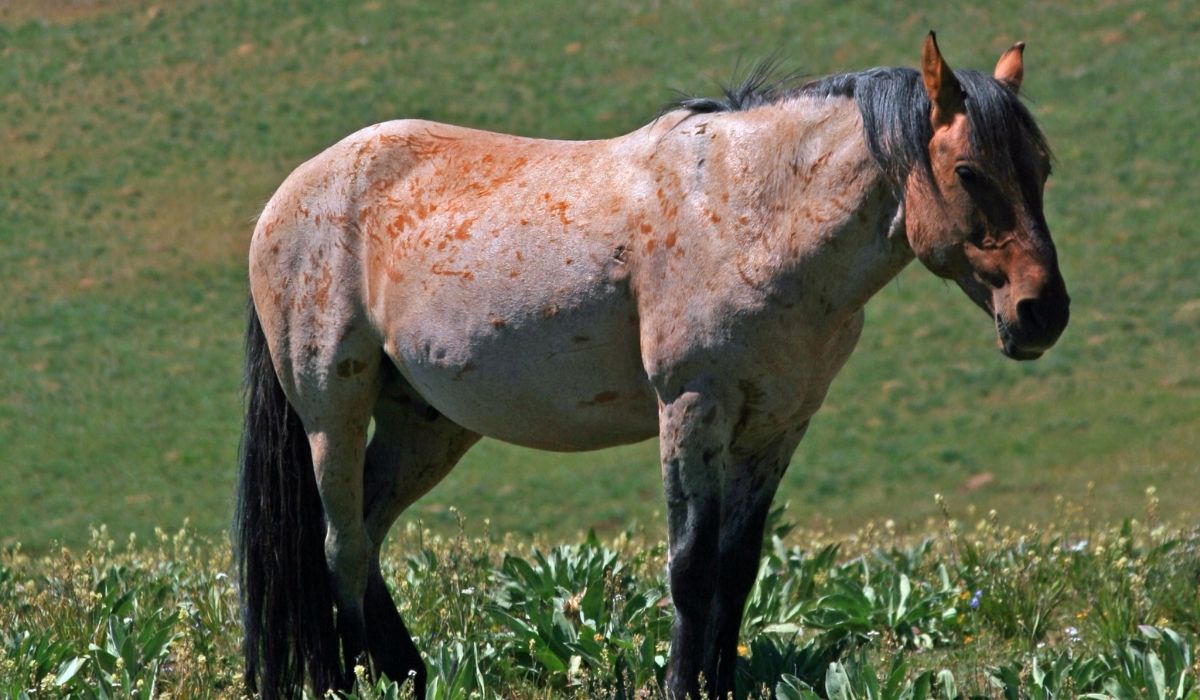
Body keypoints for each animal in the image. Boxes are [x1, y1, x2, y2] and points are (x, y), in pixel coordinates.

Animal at [234, 32, 1069, 699]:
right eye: (969, 171)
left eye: (1042, 167)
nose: (1043, 312)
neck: (753, 215)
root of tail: (288, 197)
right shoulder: (692, 408)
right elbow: (691, 569)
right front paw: (681, 686)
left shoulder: (777, 427)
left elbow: (737, 569)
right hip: (332, 413)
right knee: (340, 545)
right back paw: (345, 680)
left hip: (427, 425)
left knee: (368, 536)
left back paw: (410, 674)